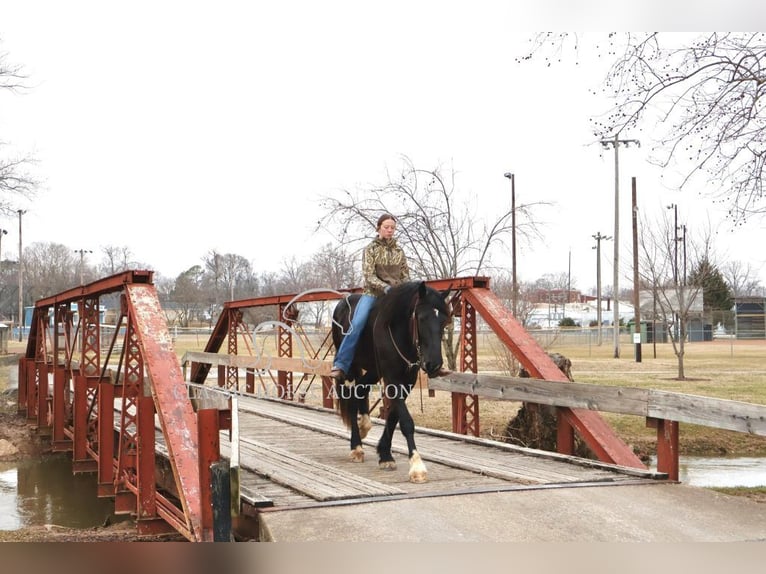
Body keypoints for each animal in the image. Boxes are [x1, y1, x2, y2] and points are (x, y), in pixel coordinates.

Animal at [328, 282, 450, 484]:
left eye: (444, 320)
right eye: (421, 318)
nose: (434, 364)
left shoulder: (408, 381)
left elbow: (393, 417)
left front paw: (385, 455)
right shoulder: (392, 378)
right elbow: (406, 421)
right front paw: (417, 467)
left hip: (374, 370)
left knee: (359, 390)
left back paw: (364, 427)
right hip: (352, 365)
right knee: (352, 394)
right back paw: (356, 447)